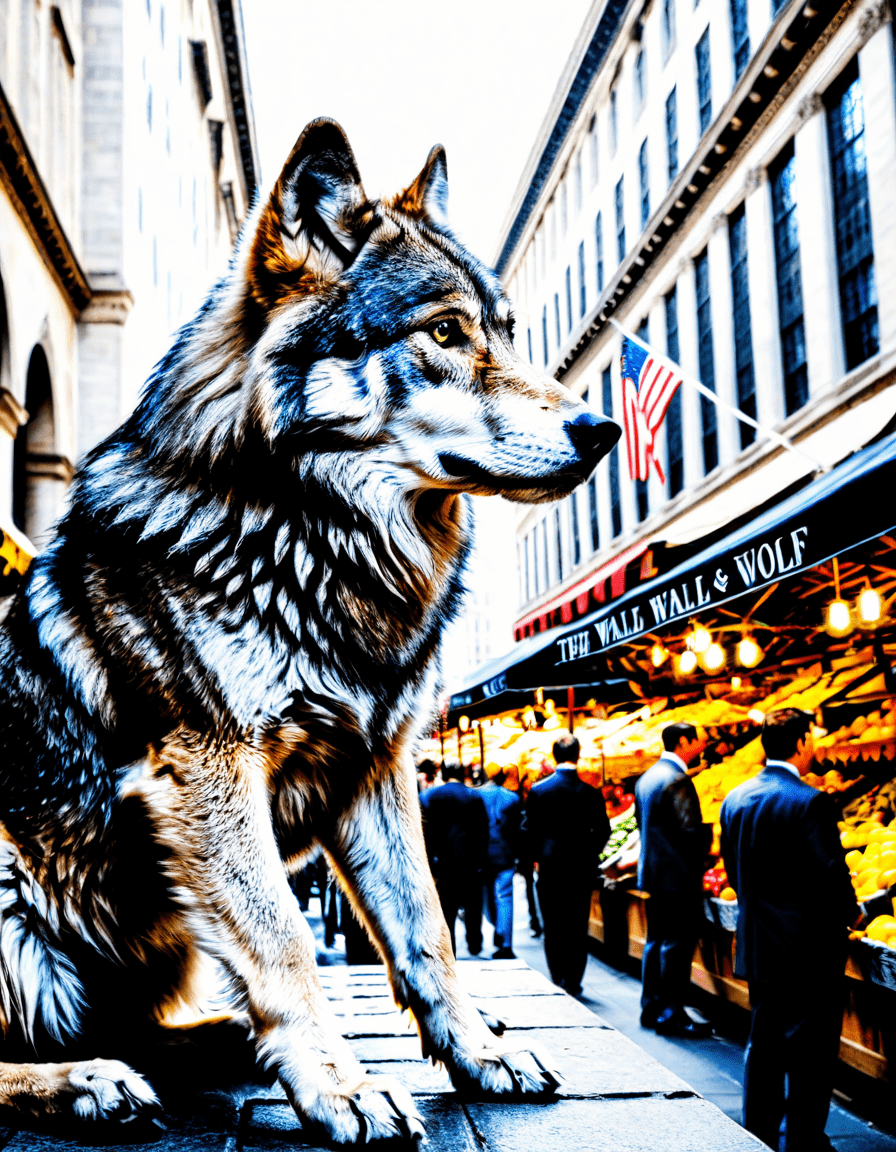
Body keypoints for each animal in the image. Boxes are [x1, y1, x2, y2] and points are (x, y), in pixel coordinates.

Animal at [0, 120, 619, 1142]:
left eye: (506, 331)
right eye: (444, 332)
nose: (601, 429)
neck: (310, 538)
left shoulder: (377, 767)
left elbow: (426, 932)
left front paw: (476, 1055)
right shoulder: (209, 774)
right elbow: (287, 939)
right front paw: (342, 1088)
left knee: (156, 1028)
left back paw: (207, 1049)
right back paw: (89, 1080)